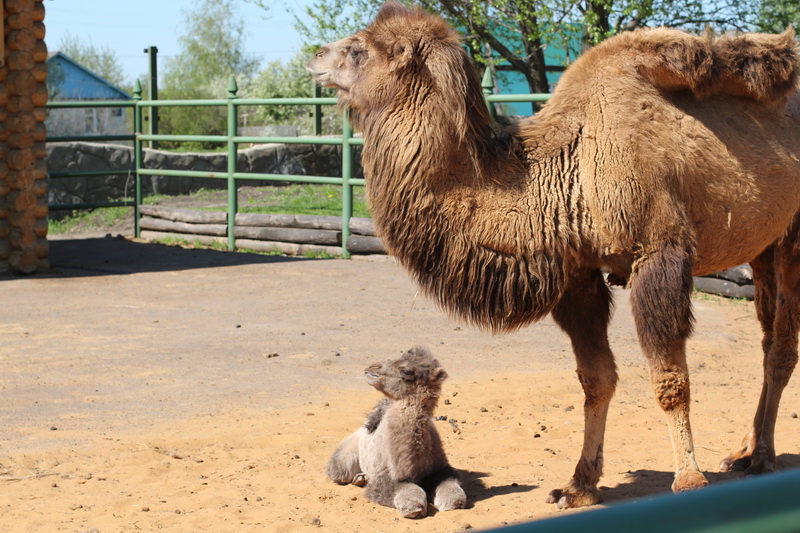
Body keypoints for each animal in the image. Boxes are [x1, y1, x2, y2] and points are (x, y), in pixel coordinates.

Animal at [324, 344, 466, 516]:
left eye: (407, 371)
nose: (373, 367)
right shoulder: (386, 476)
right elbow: (409, 494)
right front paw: (413, 508)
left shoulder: (441, 469)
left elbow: (455, 496)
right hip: (344, 456)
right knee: (339, 472)